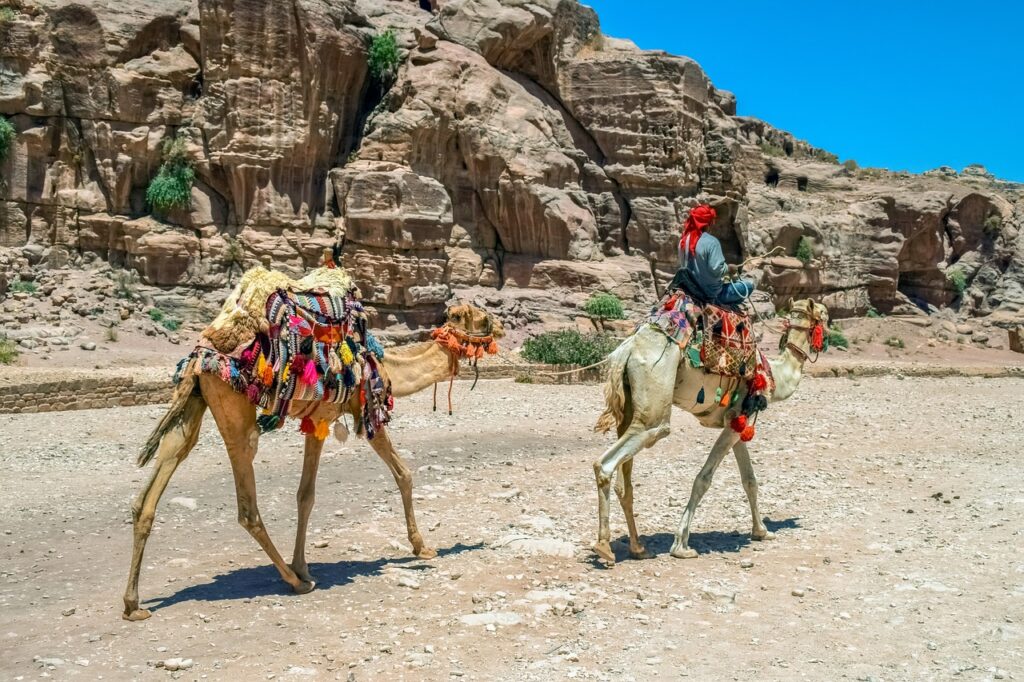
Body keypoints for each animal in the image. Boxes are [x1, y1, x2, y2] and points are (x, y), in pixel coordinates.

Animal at [121, 294, 501, 618]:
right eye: (482, 317)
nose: (500, 328)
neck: (385, 364)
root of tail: (200, 356)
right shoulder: (364, 410)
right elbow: (403, 473)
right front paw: (422, 547)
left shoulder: (317, 420)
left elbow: (305, 495)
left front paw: (302, 563)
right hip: (235, 410)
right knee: (246, 506)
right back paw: (295, 582)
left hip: (195, 401)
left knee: (158, 480)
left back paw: (132, 604)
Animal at [589, 296, 827, 557]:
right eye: (825, 315)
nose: (826, 339)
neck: (773, 375)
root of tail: (627, 350)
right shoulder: (737, 420)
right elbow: (704, 479)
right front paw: (681, 545)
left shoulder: (736, 421)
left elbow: (749, 480)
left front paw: (762, 531)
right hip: (653, 404)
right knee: (609, 461)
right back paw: (604, 547)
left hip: (630, 407)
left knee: (624, 483)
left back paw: (638, 547)